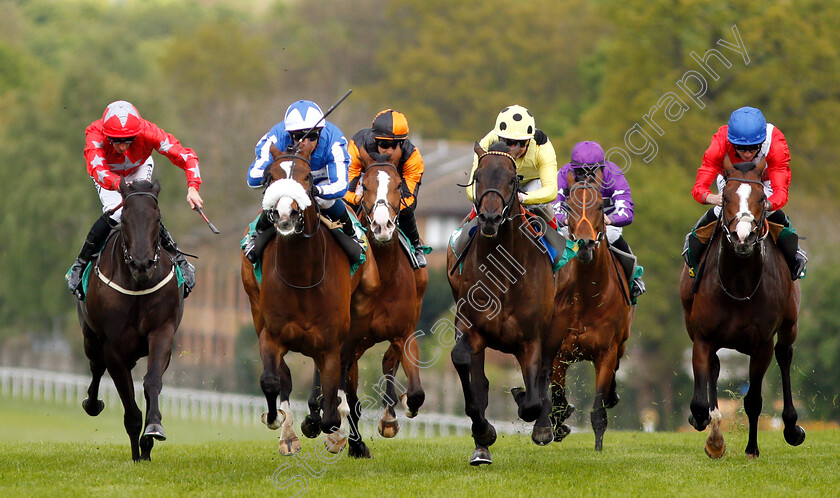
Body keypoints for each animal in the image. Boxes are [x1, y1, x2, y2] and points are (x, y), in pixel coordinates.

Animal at [77, 177, 184, 462]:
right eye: (124, 218)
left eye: (157, 218)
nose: (142, 264)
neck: (138, 285)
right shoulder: (112, 345)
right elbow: (129, 404)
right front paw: (138, 452)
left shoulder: (162, 331)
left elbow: (152, 381)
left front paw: (153, 429)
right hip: (90, 337)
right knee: (96, 367)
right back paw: (92, 404)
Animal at [240, 144, 378, 456]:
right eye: (270, 176)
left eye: (306, 177)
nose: (285, 214)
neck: (302, 276)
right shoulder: (271, 334)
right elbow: (272, 380)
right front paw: (277, 420)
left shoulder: (330, 343)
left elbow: (330, 411)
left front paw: (333, 429)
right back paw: (290, 432)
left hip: (359, 314)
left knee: (344, 368)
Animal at [446, 141, 556, 466]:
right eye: (478, 176)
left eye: (511, 179)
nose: (490, 219)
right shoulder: (469, 326)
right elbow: (466, 370)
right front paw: (484, 433)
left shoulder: (531, 338)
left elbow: (532, 400)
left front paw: (529, 407)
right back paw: (481, 448)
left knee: (544, 376)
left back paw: (542, 424)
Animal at [548, 167, 632, 452]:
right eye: (570, 206)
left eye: (599, 206)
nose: (585, 244)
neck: (587, 296)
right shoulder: (558, 353)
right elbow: (557, 399)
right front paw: (558, 425)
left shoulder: (607, 352)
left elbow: (598, 410)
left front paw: (597, 449)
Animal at [680, 158, 804, 462]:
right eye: (725, 198)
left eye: (761, 198)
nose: (743, 237)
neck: (738, 283)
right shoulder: (702, 338)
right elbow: (699, 403)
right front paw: (712, 436)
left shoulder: (762, 345)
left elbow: (754, 400)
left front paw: (752, 449)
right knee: (714, 367)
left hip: (789, 325)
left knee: (785, 355)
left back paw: (792, 428)